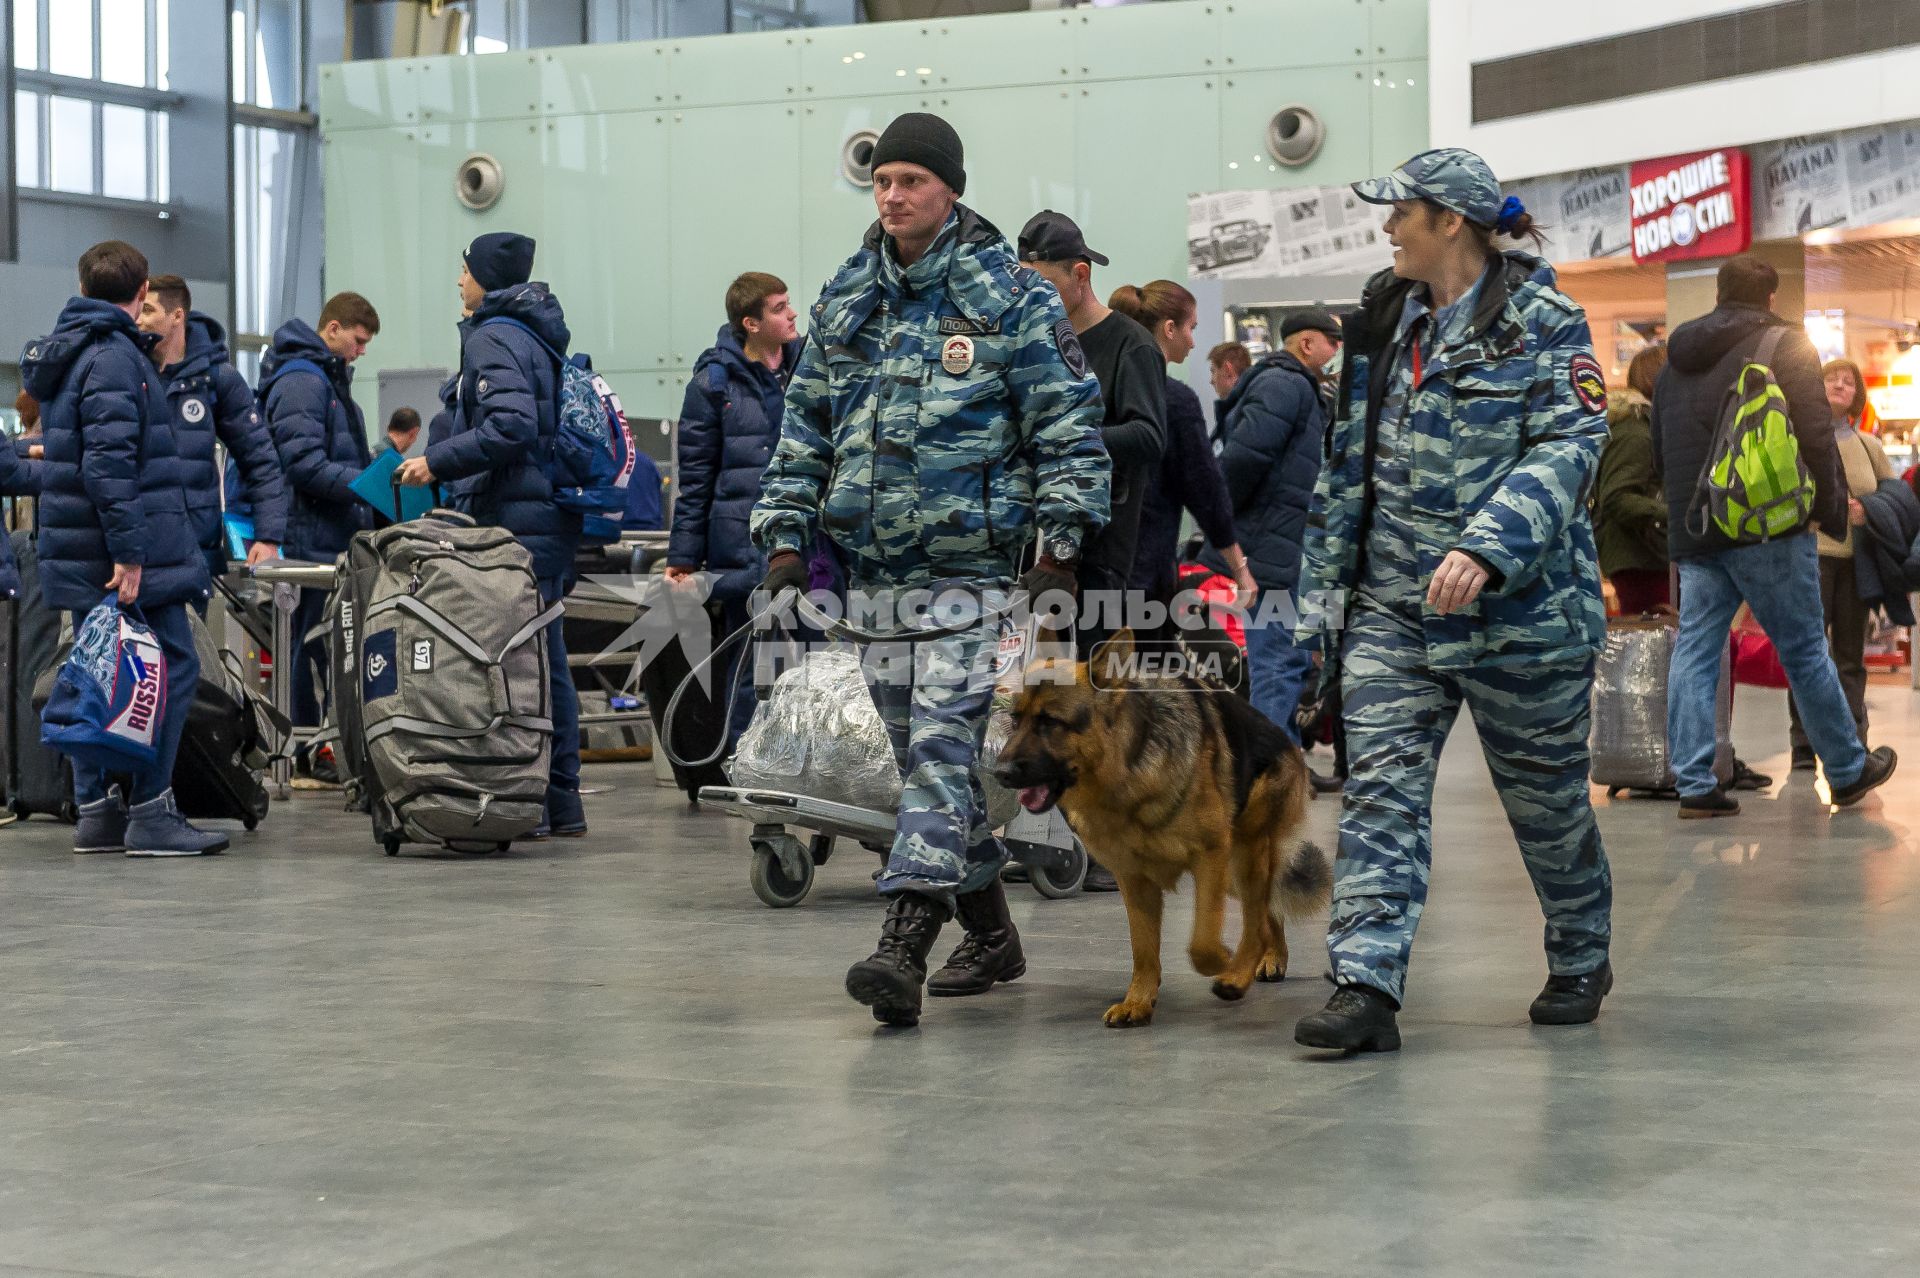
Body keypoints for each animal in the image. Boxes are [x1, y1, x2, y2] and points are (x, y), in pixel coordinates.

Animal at [998, 625, 1328, 1028]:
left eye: (1050, 722)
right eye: (1016, 721)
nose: (999, 772)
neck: (1127, 771)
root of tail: (1284, 737)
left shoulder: (1210, 857)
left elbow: (1202, 943)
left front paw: (1225, 962)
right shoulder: (1134, 880)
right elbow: (1143, 950)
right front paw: (1138, 1001)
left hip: (1243, 857)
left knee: (1256, 918)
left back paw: (1241, 972)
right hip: (1234, 874)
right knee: (1267, 912)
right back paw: (1269, 957)